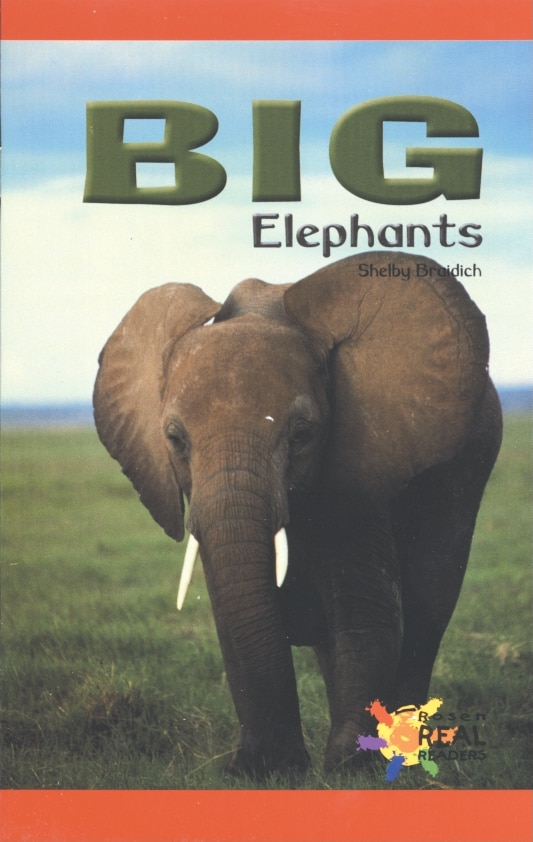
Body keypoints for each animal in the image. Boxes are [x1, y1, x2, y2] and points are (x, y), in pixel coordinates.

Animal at [93, 250, 502, 777]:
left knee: (428, 607)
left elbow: (369, 605)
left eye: (303, 433)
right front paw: (264, 769)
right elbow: (232, 611)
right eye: (175, 440)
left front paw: (350, 766)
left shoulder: (359, 459)